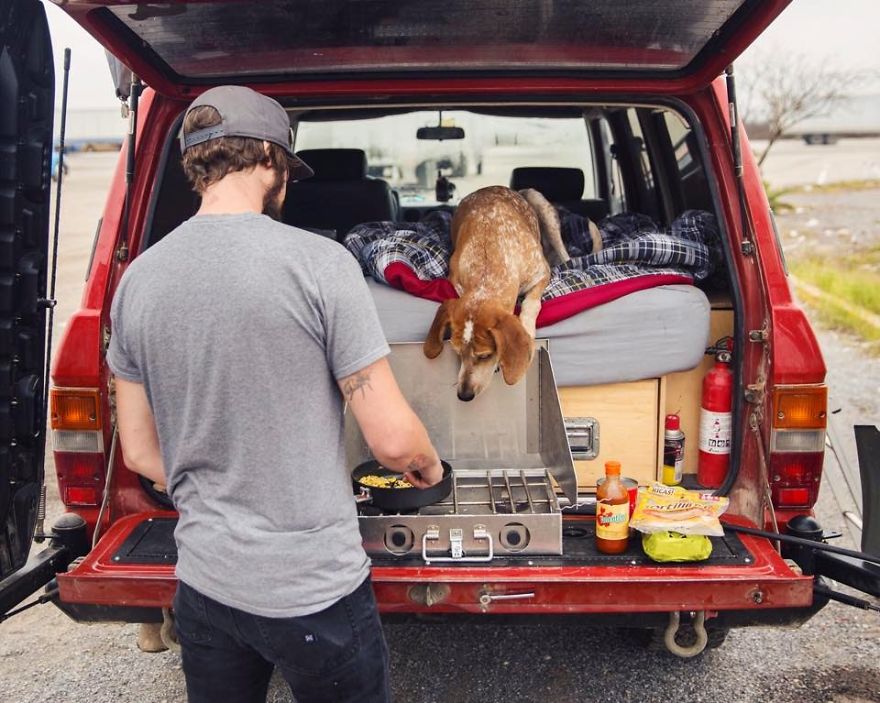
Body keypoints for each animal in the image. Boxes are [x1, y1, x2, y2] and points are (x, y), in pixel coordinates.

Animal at [426, 184, 572, 398]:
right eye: (457, 352)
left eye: (485, 355)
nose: (464, 396)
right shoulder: (454, 279)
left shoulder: (542, 273)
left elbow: (531, 304)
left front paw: (527, 330)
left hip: (542, 207)